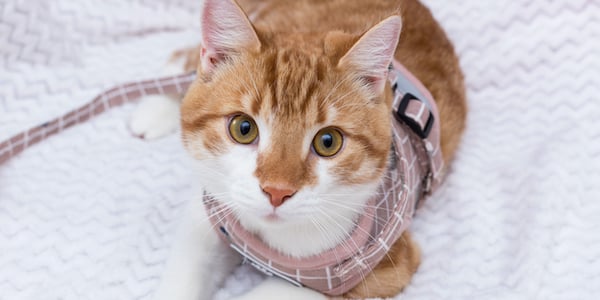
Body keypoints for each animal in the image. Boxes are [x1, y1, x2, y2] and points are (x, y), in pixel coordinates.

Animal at [131, 0, 466, 298]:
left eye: (328, 142)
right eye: (243, 128)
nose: (276, 191)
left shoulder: (386, 267)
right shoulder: (211, 210)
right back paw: (155, 108)